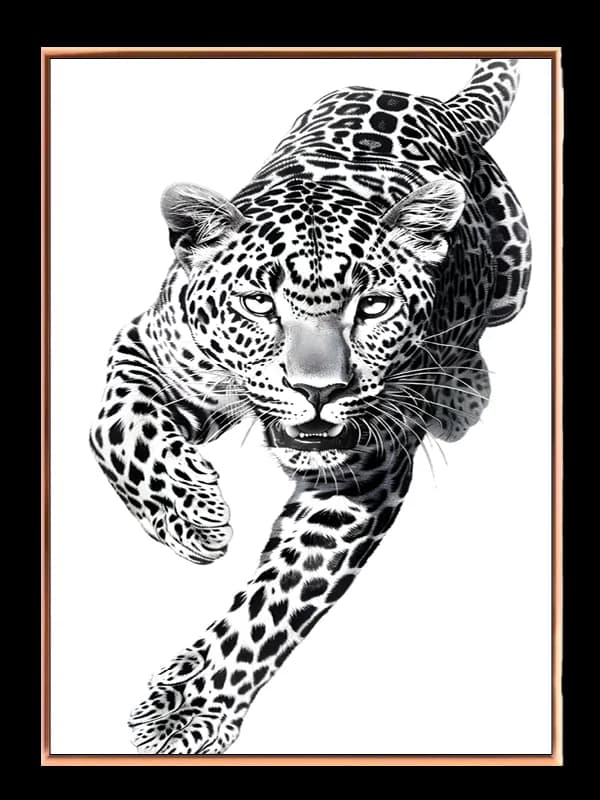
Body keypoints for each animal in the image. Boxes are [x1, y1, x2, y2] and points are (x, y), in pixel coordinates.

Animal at [89, 58, 531, 754]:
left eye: (373, 306)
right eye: (257, 303)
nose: (319, 390)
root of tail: (435, 102)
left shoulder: (363, 477)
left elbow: (277, 601)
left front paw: (191, 709)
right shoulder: (147, 345)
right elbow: (117, 430)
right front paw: (194, 520)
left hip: (518, 278)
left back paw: (461, 396)